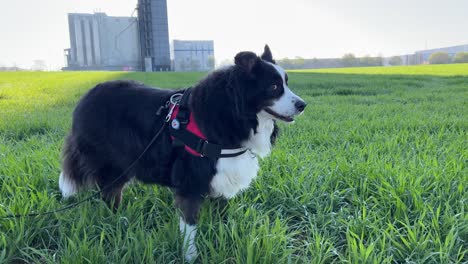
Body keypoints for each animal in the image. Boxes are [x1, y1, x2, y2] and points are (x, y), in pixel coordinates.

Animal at [59, 45, 308, 260]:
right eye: (274, 87)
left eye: (286, 83)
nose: (303, 105)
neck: (232, 112)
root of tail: (84, 99)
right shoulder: (191, 180)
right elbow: (190, 226)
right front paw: (190, 255)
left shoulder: (222, 177)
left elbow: (223, 216)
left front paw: (226, 239)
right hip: (112, 164)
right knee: (109, 193)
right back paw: (114, 223)